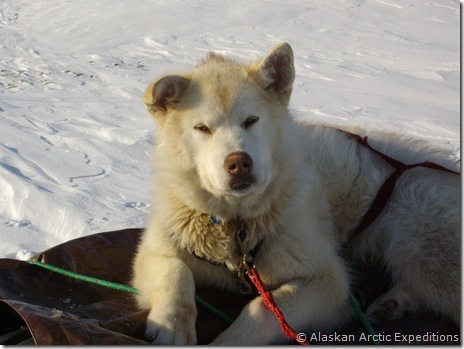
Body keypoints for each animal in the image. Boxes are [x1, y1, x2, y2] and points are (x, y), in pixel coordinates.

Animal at [131, 42, 460, 344]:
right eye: (202, 128)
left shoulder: (328, 282)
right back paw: (391, 304)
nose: (239, 163)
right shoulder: (156, 249)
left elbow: (264, 308)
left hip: (424, 253)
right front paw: (172, 323)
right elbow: (175, 271)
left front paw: (229, 341)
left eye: (251, 120)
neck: (235, 224)